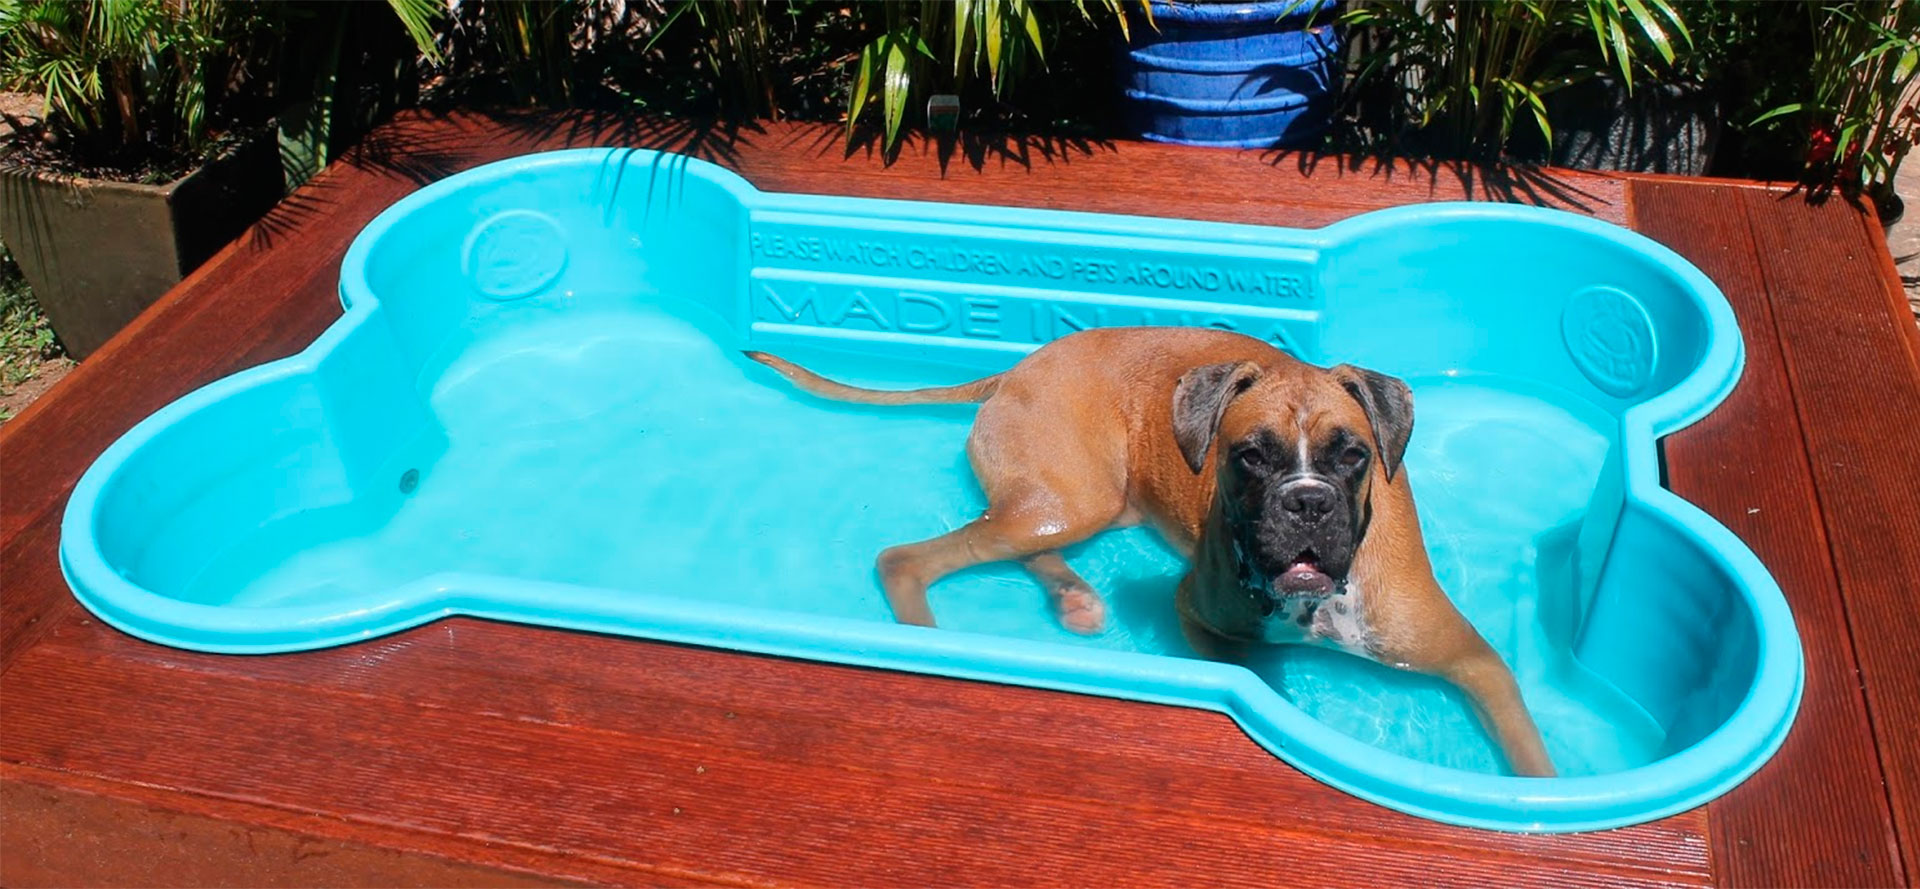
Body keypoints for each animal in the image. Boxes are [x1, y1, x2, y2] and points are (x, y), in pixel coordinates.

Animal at [748, 328, 1559, 779]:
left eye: (1352, 455)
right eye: (1249, 456)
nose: (1306, 501)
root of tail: (1019, 367)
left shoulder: (1478, 665)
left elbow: (1530, 758)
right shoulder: (1198, 616)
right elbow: (1250, 668)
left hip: (1079, 504)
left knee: (1009, 537)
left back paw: (1072, 598)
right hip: (1068, 500)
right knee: (910, 557)